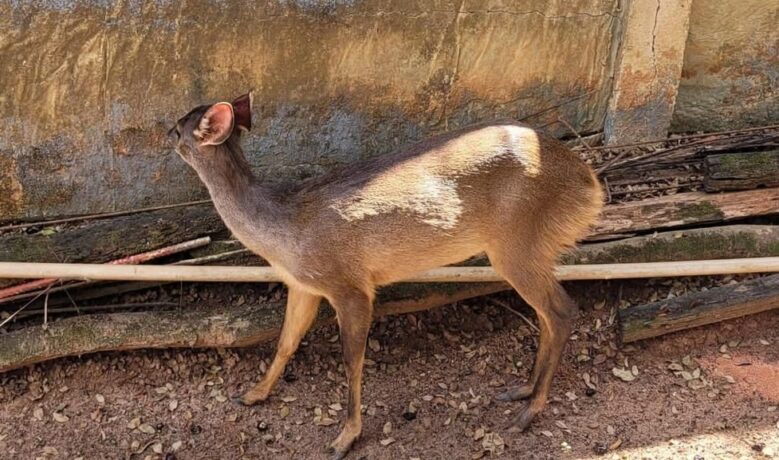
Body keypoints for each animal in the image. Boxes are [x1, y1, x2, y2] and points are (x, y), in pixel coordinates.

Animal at [169, 91, 604, 458]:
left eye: (177, 127)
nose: (163, 132)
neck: (282, 231)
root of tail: (592, 185)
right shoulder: (303, 284)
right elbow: (285, 342)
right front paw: (253, 394)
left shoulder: (350, 285)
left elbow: (352, 359)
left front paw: (345, 437)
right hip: (532, 249)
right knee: (547, 314)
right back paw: (521, 389)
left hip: (518, 242)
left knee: (562, 311)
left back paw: (528, 413)